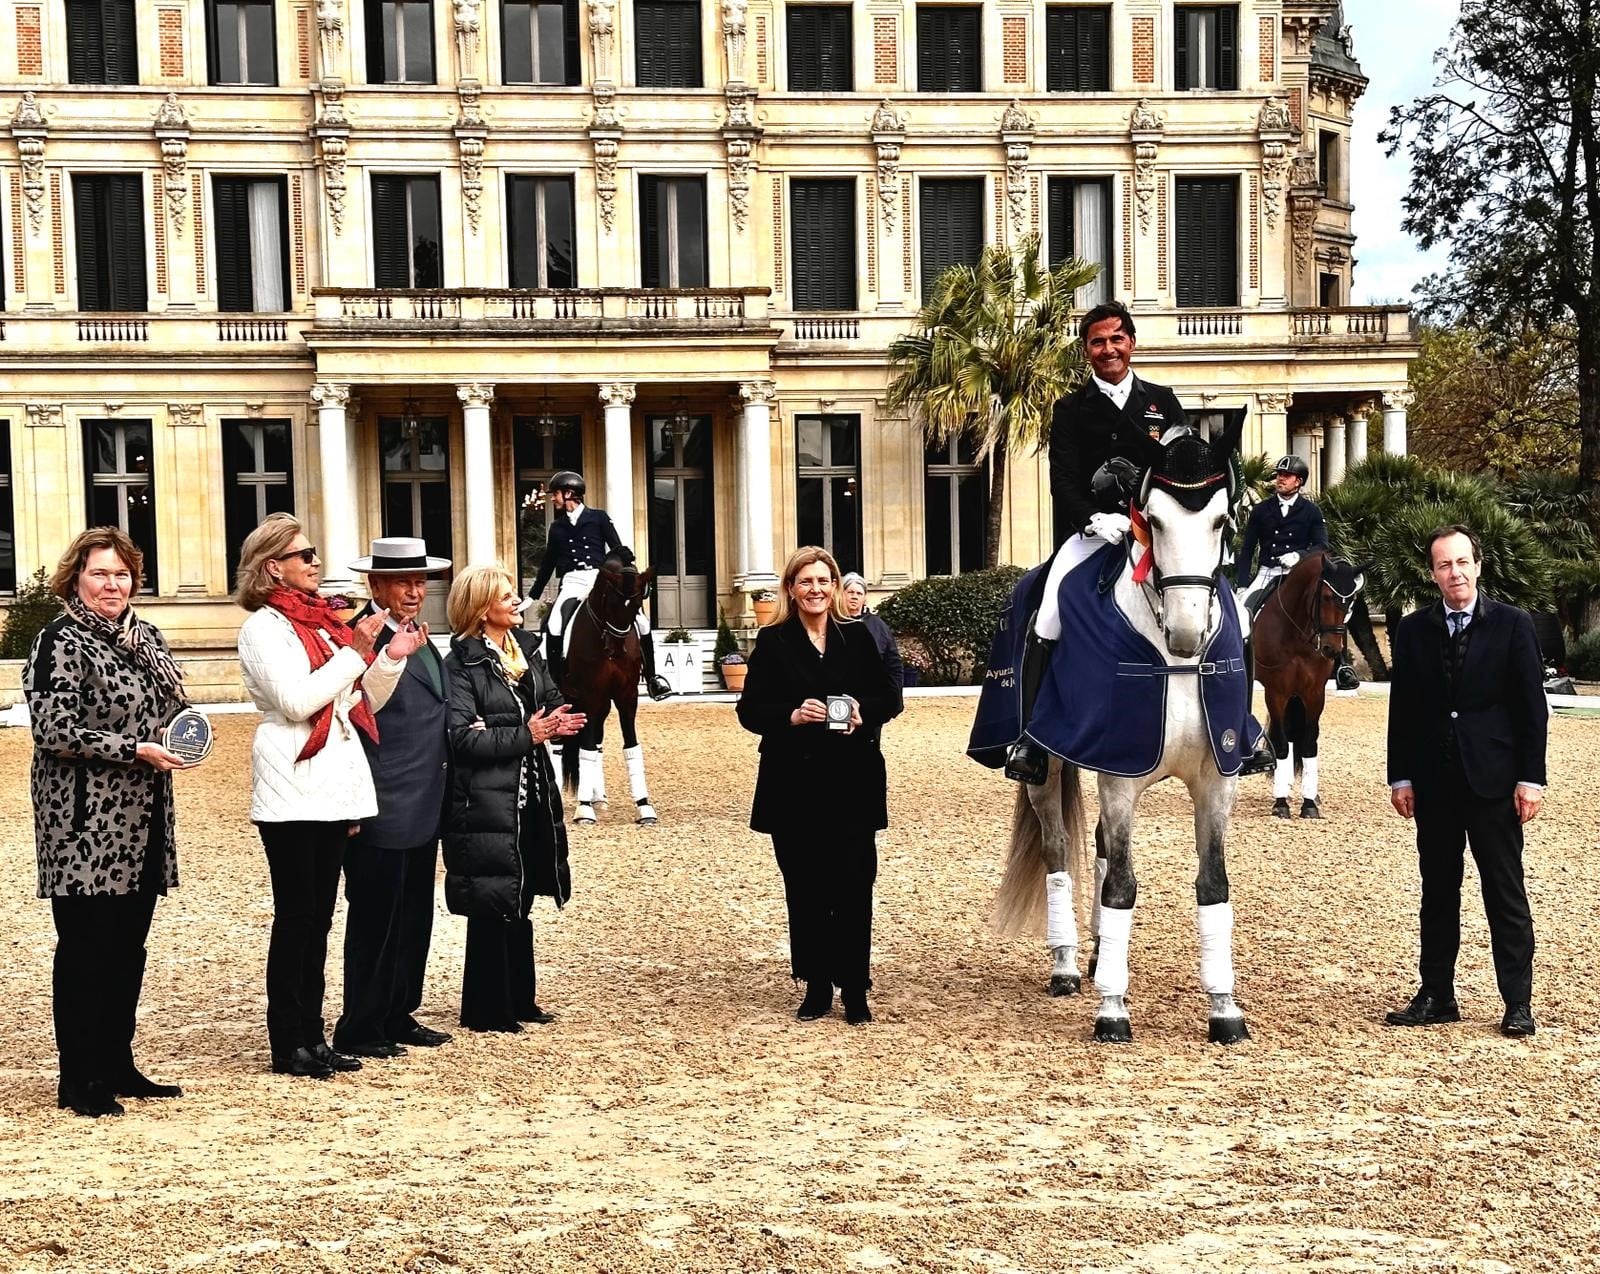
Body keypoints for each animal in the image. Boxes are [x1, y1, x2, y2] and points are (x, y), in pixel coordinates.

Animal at [560, 560, 659, 825]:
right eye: (611, 602)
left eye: (636, 605)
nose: (615, 649)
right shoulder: (589, 696)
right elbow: (586, 749)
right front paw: (584, 810)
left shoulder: (627, 696)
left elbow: (631, 747)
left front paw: (644, 806)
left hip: (603, 706)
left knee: (597, 743)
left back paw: (599, 797)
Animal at [992, 428, 1254, 1043]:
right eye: (1151, 520)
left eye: (1221, 521)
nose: (1186, 633)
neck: (1173, 662)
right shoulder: (1119, 776)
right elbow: (1122, 887)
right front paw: (1113, 1009)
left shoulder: (1215, 780)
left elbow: (1213, 884)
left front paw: (1224, 1009)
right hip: (1050, 767)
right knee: (1058, 852)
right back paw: (1067, 965)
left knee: (1100, 848)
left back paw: (1094, 956)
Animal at [1254, 553, 1369, 819]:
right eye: (1326, 597)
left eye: (1350, 603)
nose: (1331, 650)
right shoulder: (1276, 692)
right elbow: (1282, 744)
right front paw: (1281, 804)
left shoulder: (1314, 693)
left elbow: (1308, 743)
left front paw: (1309, 803)